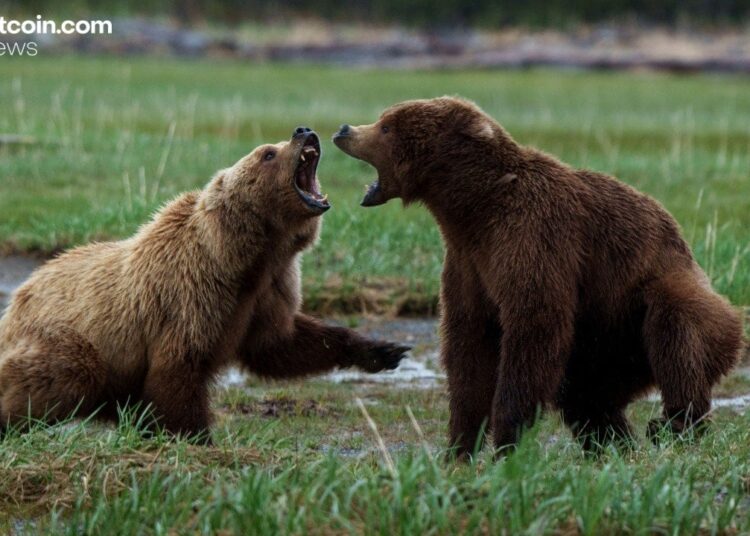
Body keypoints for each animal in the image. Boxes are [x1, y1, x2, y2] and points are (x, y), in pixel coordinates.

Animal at [0, 127, 409, 440]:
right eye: (268, 153)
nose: (304, 130)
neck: (248, 256)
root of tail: (17, 298)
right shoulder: (193, 294)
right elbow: (179, 371)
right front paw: (197, 437)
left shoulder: (270, 289)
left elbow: (281, 343)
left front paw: (383, 350)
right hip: (71, 339)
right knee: (62, 375)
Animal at [333, 97, 744, 457]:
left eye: (386, 125)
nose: (344, 129)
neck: (473, 208)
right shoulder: (469, 262)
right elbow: (468, 343)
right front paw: (459, 446)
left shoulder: (534, 238)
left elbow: (532, 328)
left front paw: (506, 440)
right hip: (604, 342)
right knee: (586, 394)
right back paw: (616, 445)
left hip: (653, 297)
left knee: (675, 329)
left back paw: (674, 425)